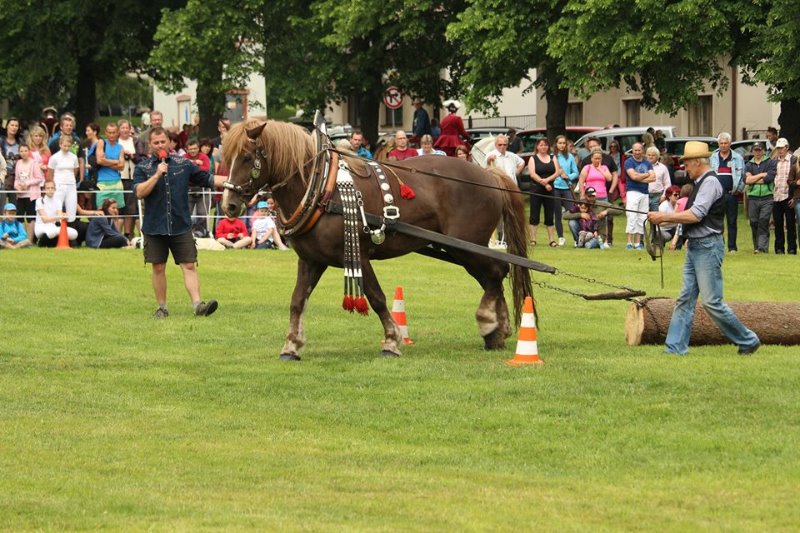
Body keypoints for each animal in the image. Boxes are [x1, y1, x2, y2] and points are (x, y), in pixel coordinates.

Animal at [221, 119, 533, 360]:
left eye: (247, 157)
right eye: (226, 159)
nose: (230, 205)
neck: (321, 188)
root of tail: (488, 174)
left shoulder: (358, 254)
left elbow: (377, 297)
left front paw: (392, 341)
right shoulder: (311, 259)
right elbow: (297, 300)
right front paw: (291, 346)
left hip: (469, 246)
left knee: (497, 273)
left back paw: (489, 323)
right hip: (462, 249)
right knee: (493, 277)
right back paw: (498, 330)